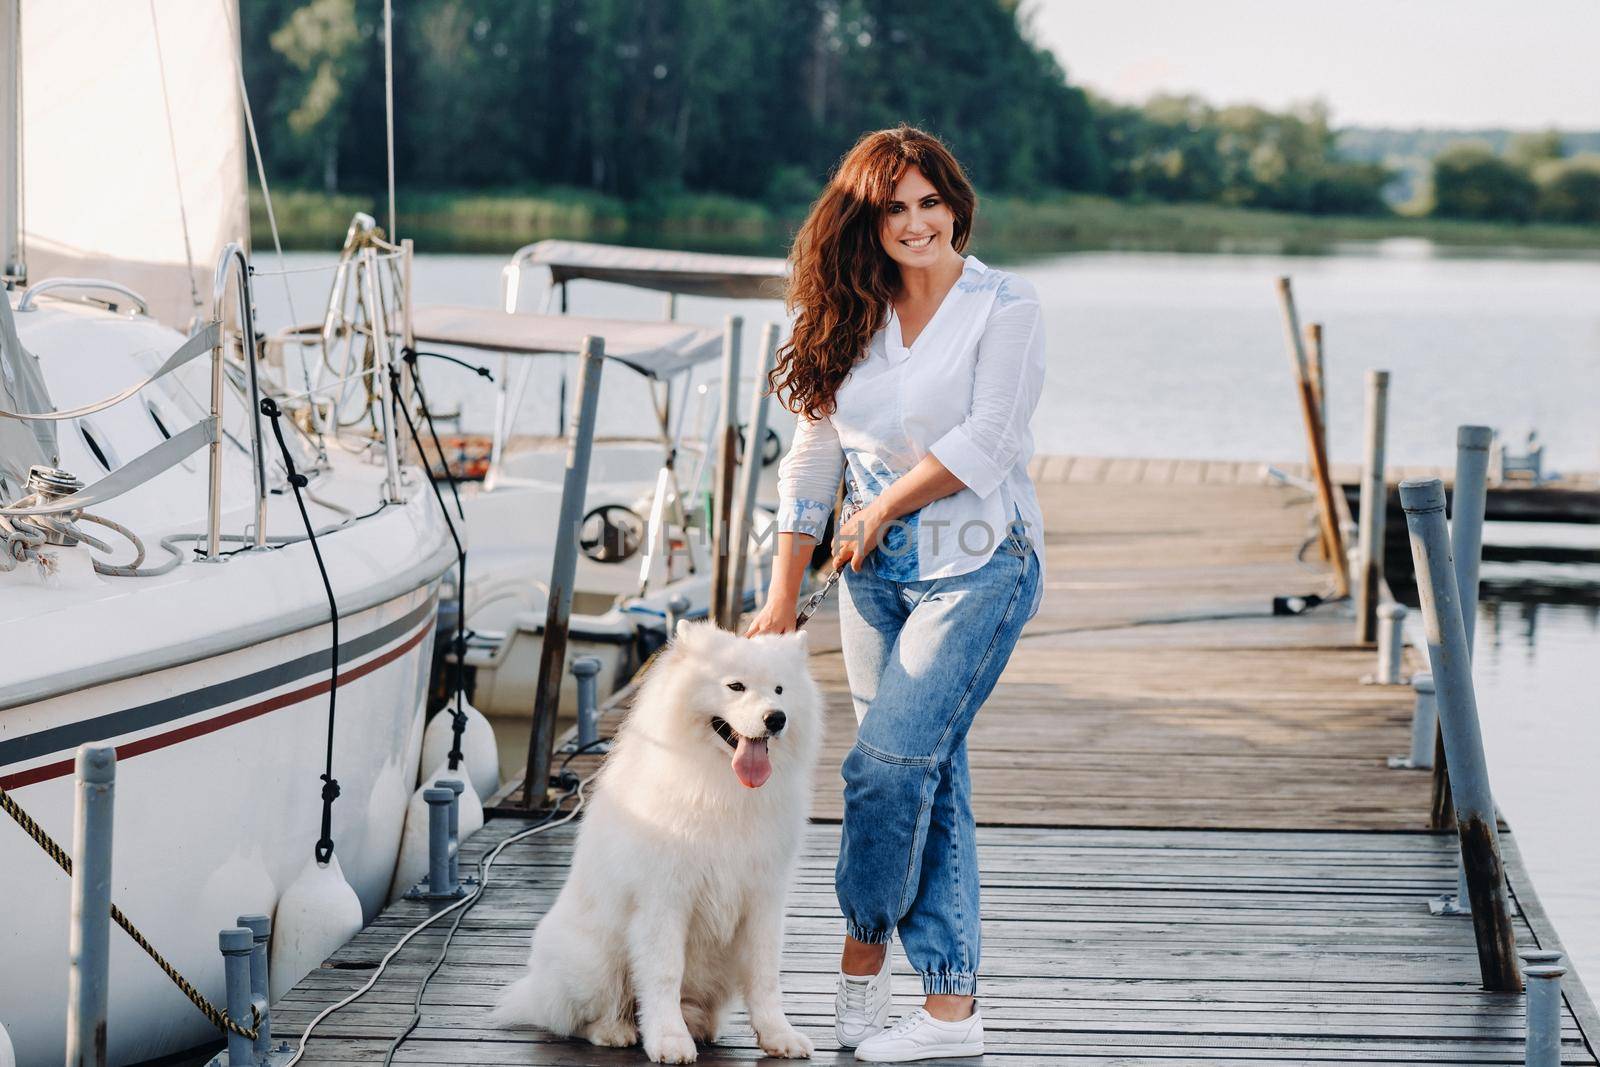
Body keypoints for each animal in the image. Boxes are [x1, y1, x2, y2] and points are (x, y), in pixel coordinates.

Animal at [489, 620, 825, 1062]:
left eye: (780, 690)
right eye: (735, 686)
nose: (776, 718)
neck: (721, 788)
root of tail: (533, 991)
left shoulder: (763, 899)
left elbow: (765, 975)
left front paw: (777, 1035)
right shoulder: (665, 898)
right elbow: (664, 972)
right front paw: (668, 1039)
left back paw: (696, 1025)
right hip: (597, 959)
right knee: (585, 1016)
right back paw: (617, 1030)